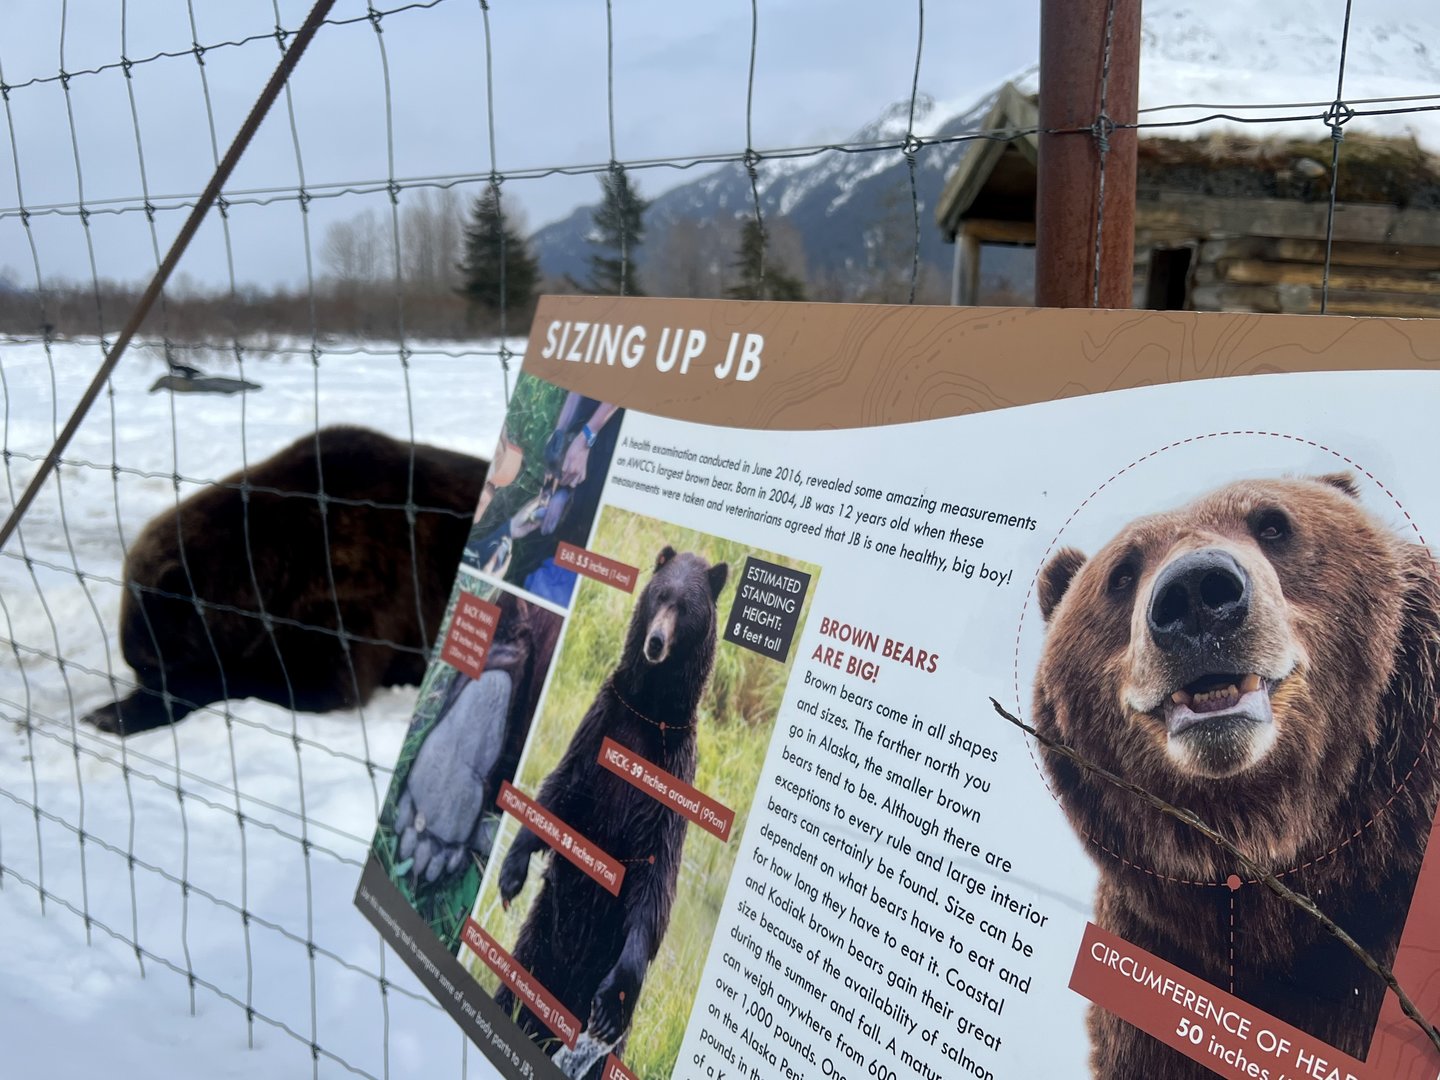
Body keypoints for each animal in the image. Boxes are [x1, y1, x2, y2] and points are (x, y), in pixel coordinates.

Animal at [83, 426, 487, 735]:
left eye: (153, 664)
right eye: (142, 666)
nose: (145, 681)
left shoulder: (351, 581)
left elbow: (311, 678)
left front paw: (113, 713)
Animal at [493, 545, 728, 1077]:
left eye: (686, 607)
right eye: (660, 594)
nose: (656, 642)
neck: (648, 713)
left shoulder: (669, 778)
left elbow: (655, 877)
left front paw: (613, 997)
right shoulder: (602, 728)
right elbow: (560, 790)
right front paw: (512, 870)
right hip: (540, 939)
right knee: (513, 987)